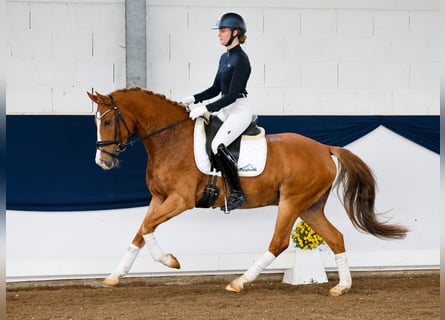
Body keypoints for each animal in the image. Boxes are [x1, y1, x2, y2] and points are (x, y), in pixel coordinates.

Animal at [86, 86, 406, 296]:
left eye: (107, 120)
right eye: (96, 121)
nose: (102, 162)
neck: (170, 138)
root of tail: (324, 148)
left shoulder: (180, 200)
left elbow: (148, 228)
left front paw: (170, 261)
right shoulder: (159, 198)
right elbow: (141, 232)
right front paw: (114, 276)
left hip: (292, 202)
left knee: (278, 242)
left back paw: (239, 282)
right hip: (310, 207)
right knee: (336, 237)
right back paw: (342, 286)